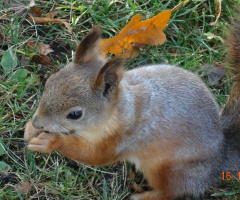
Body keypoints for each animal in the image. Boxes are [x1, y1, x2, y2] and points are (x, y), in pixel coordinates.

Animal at [23, 13, 240, 199]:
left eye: (75, 114)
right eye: (50, 81)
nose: (38, 122)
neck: (117, 112)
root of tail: (219, 157)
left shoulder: (121, 138)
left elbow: (95, 156)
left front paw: (51, 142)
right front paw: (30, 129)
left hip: (167, 169)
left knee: (170, 193)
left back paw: (145, 196)